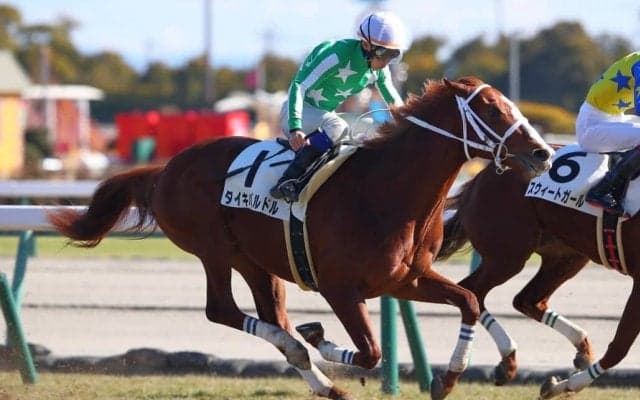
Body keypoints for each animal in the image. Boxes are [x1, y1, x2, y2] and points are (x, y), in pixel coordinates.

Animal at [47, 76, 552, 400]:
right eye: (492, 109)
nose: (543, 153)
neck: (387, 191)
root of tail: (164, 170)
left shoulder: (407, 279)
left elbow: (467, 301)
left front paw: (456, 377)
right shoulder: (340, 288)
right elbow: (369, 352)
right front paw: (326, 345)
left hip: (255, 261)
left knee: (271, 316)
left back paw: (319, 374)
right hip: (214, 249)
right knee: (222, 310)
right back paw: (309, 355)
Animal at [438, 157, 640, 399]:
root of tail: (480, 177)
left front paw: (558, 384)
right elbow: (620, 347)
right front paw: (566, 385)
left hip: (565, 255)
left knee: (526, 300)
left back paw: (578, 349)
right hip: (508, 255)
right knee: (472, 291)